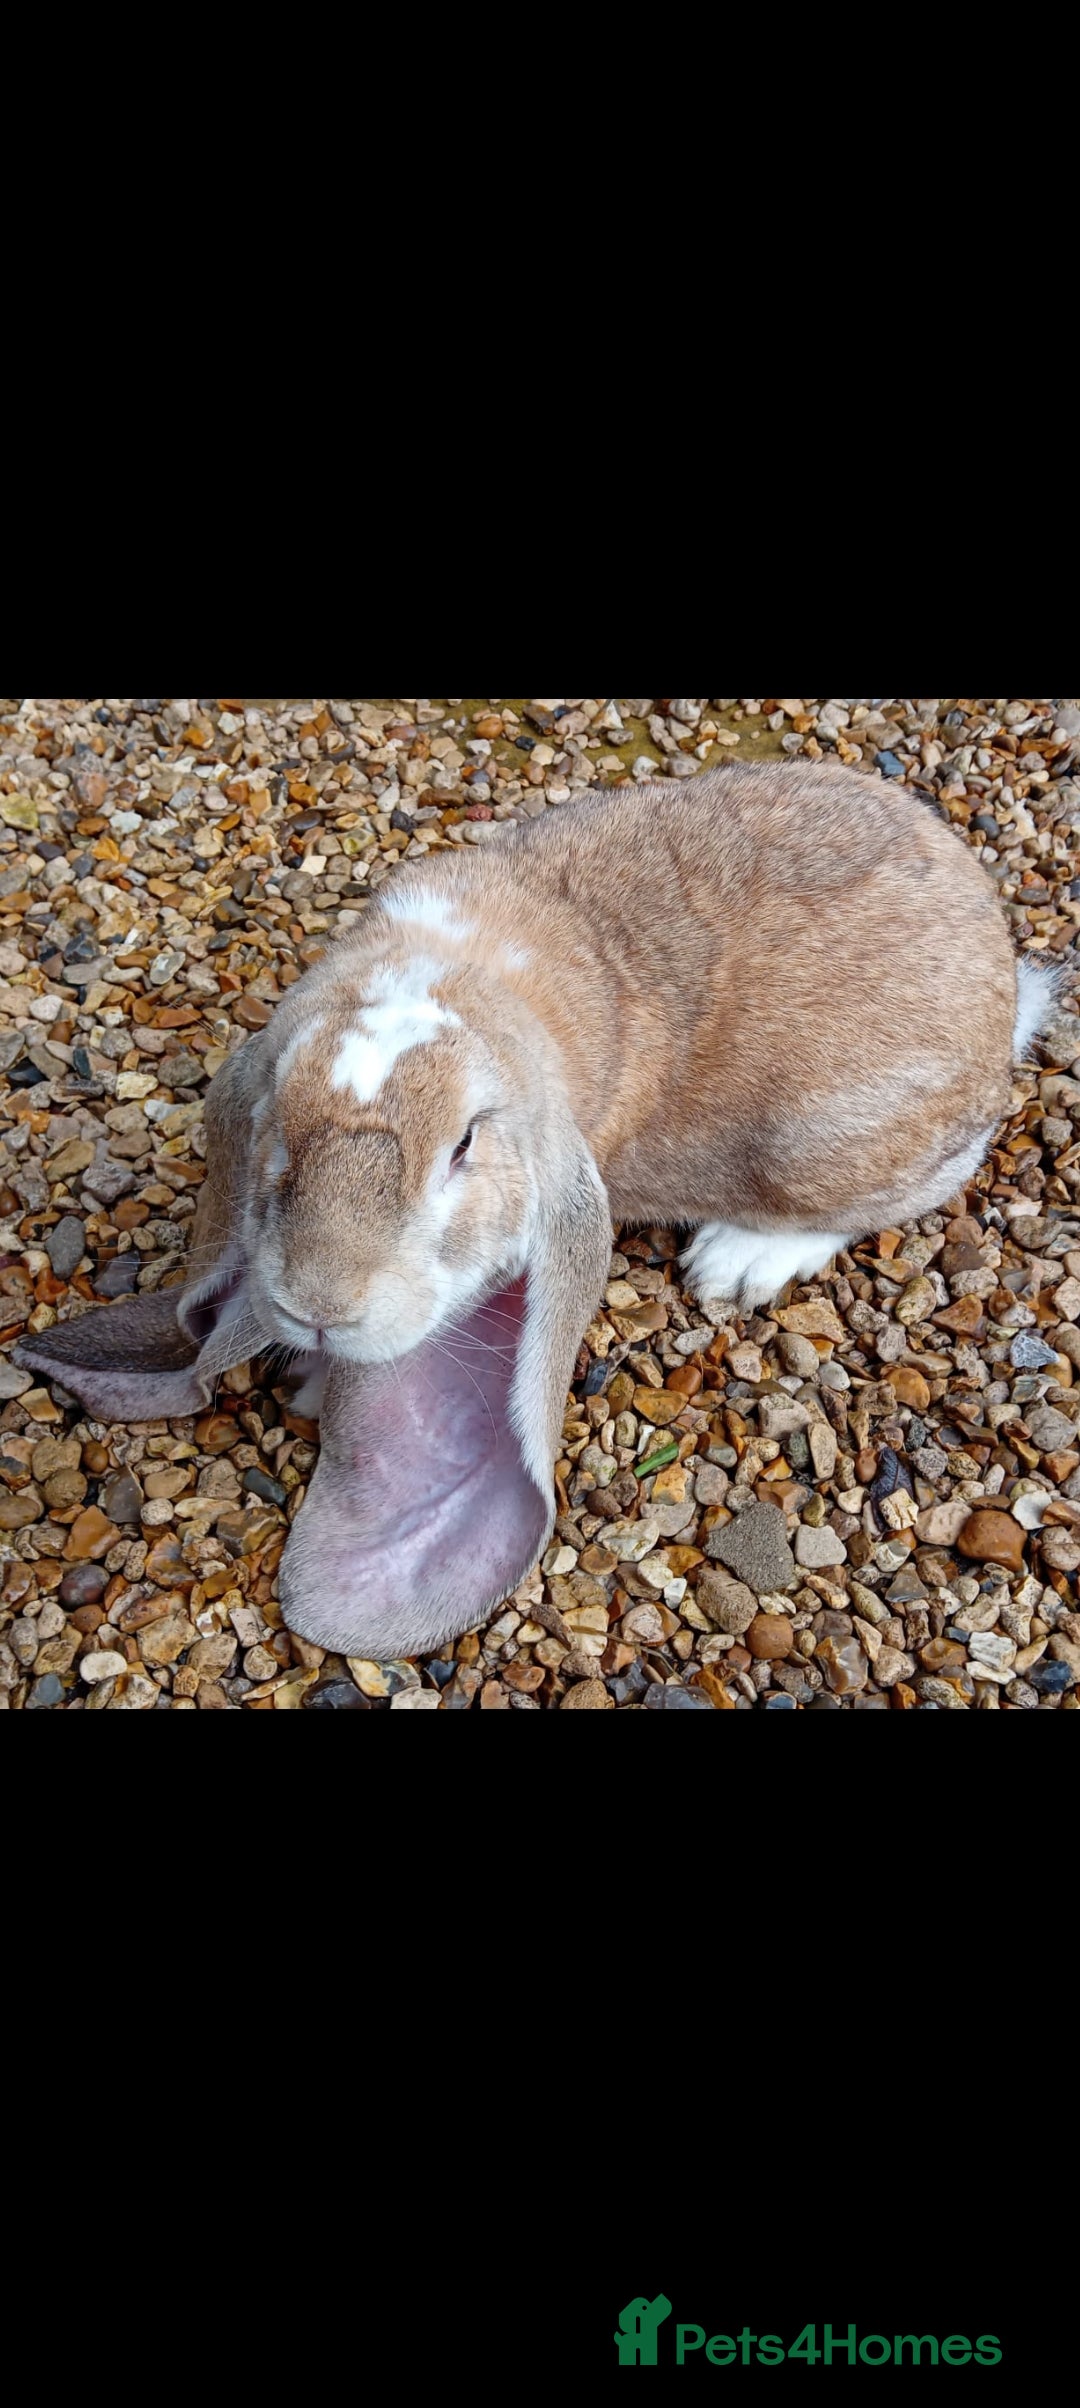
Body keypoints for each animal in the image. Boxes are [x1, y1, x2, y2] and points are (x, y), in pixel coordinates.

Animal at [14, 759, 1059, 1661]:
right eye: (275, 1117)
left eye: (463, 1147)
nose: (320, 1304)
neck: (471, 980)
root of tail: (999, 980)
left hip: (820, 1147)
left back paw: (733, 1261)